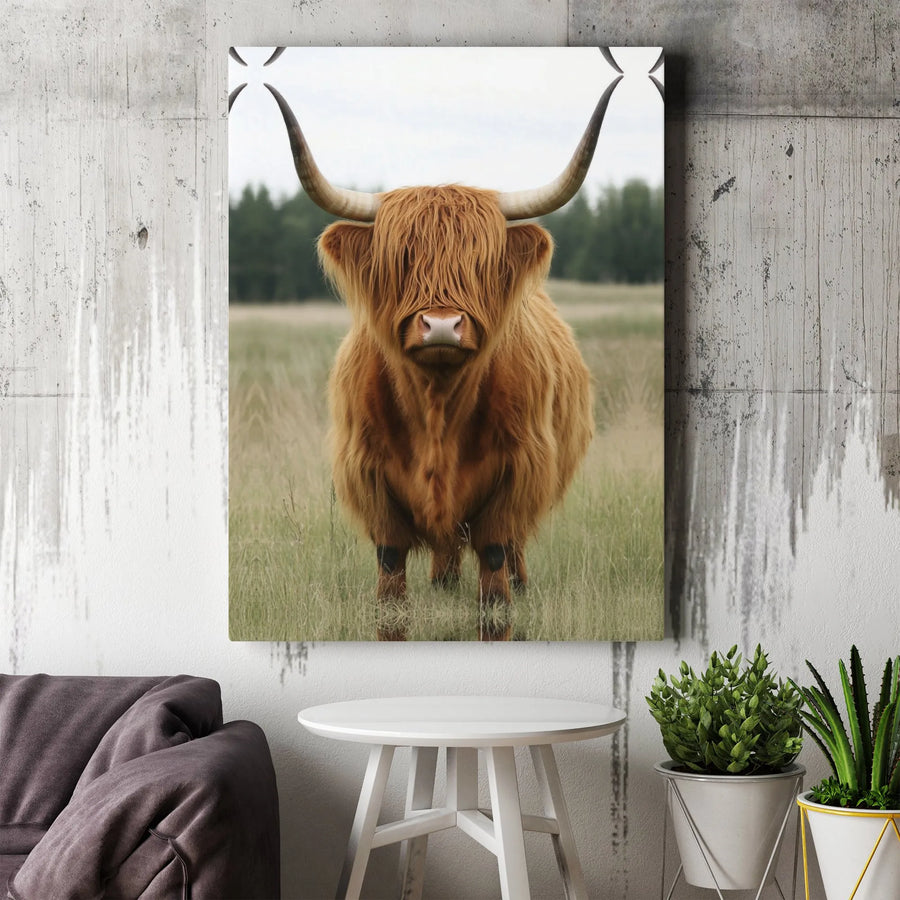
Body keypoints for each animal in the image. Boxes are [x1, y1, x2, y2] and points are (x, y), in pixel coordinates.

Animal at [267, 76, 622, 640]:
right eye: (401, 260)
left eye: (480, 264)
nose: (440, 325)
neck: (436, 405)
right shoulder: (369, 475)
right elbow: (390, 574)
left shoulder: (518, 470)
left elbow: (495, 564)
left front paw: (499, 606)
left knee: (510, 550)